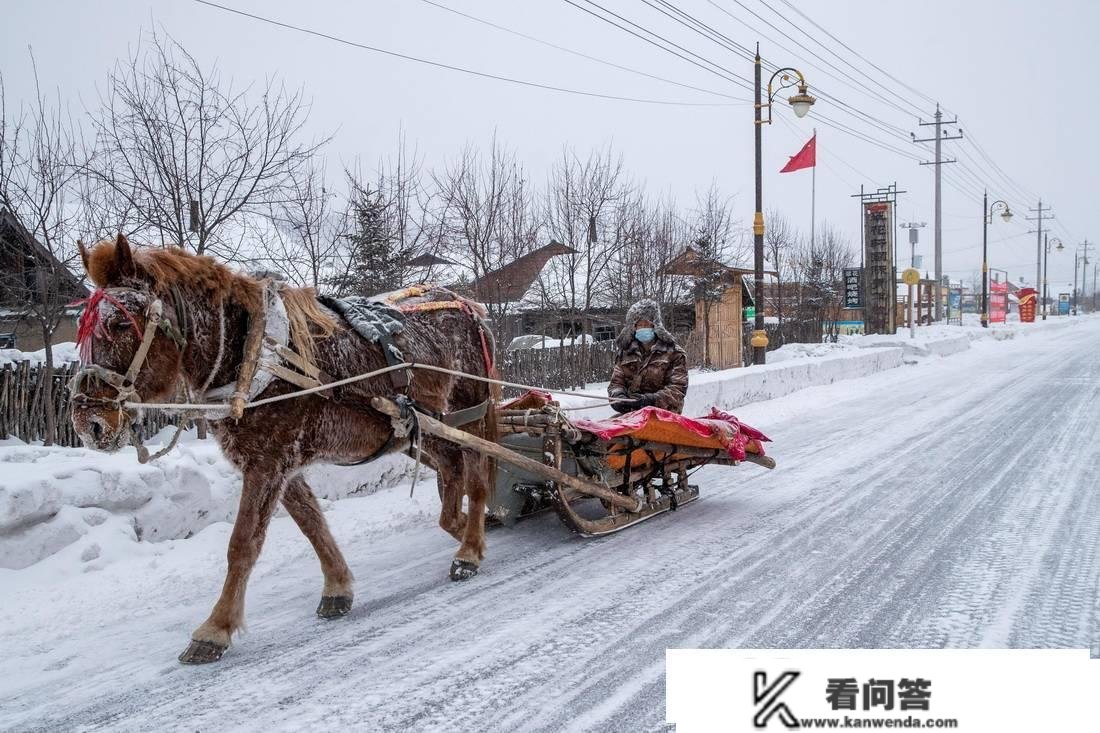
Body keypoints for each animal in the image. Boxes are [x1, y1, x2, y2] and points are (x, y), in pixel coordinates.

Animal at [69, 234, 499, 660]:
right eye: (82, 328)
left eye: (119, 322)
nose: (88, 423)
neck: (253, 354)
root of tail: (466, 304)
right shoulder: (278, 464)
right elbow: (313, 526)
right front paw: (338, 587)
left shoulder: (268, 462)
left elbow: (242, 544)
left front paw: (215, 629)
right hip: (421, 426)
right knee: (451, 469)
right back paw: (466, 525)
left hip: (470, 406)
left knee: (477, 476)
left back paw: (470, 548)